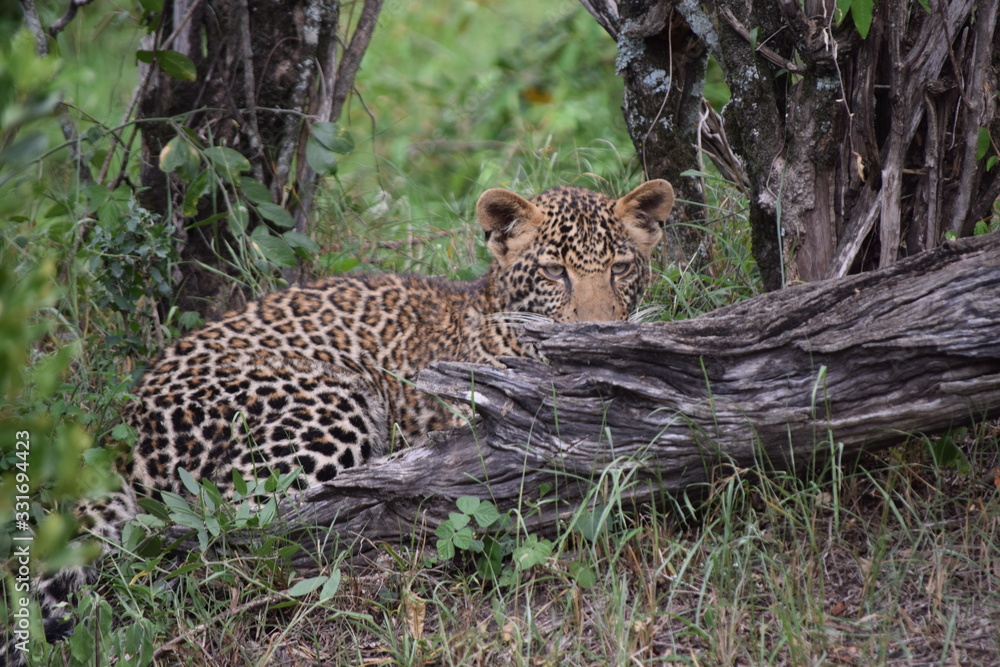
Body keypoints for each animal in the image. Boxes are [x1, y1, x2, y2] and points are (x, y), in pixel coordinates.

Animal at [7, 179, 674, 663]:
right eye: (555, 272)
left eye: (620, 267)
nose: (600, 329)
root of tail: (123, 436)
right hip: (329, 404)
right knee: (232, 528)